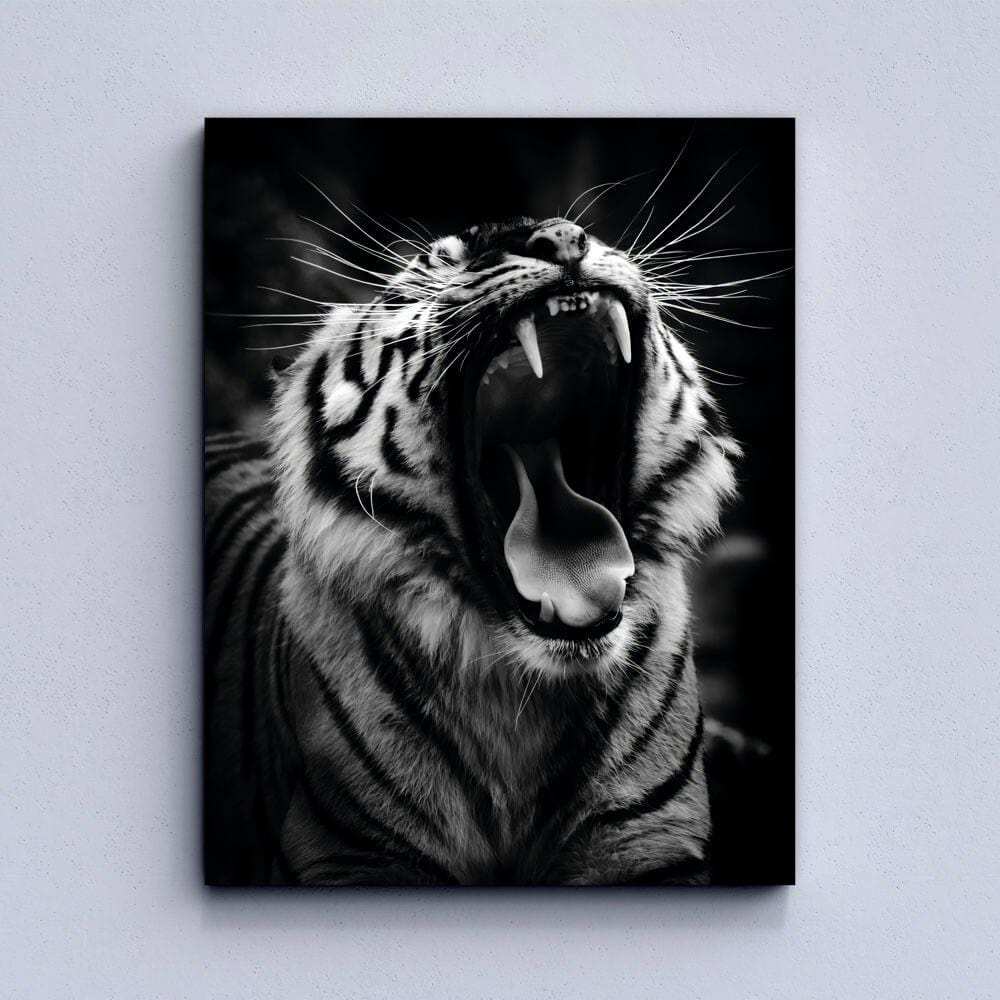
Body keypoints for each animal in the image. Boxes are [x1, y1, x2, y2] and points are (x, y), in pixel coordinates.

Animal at [204, 215, 740, 885]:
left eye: (580, 234)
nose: (561, 238)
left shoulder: (650, 844)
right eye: (438, 261)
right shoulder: (353, 854)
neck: (523, 694)